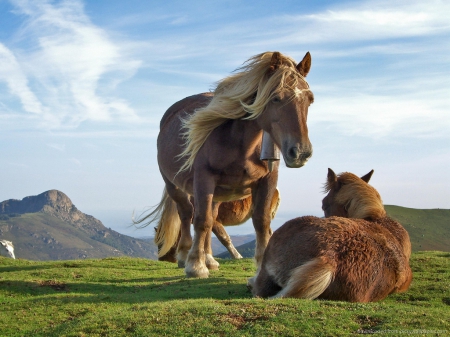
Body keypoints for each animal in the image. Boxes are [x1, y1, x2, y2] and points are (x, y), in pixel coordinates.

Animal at [135, 50, 314, 276]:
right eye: (275, 98)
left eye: (310, 100)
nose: (300, 152)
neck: (240, 144)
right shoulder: (204, 179)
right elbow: (201, 221)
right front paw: (196, 266)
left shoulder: (268, 180)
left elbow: (261, 222)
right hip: (174, 185)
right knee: (187, 214)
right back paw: (186, 256)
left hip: (218, 193)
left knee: (211, 217)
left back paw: (209, 259)